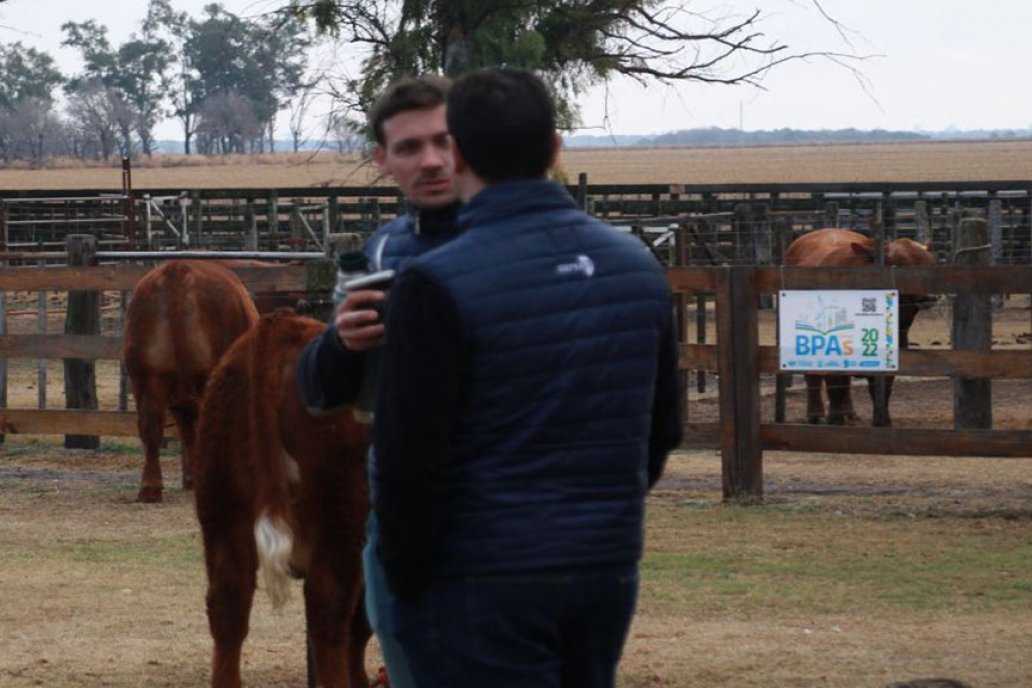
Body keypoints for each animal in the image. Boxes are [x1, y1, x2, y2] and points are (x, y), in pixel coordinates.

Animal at [784, 228, 941, 427]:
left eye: (931, 264)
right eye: (898, 265)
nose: (929, 297)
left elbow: (882, 387)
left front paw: (882, 420)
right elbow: (835, 385)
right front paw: (835, 420)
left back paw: (849, 412)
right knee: (814, 377)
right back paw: (815, 414)